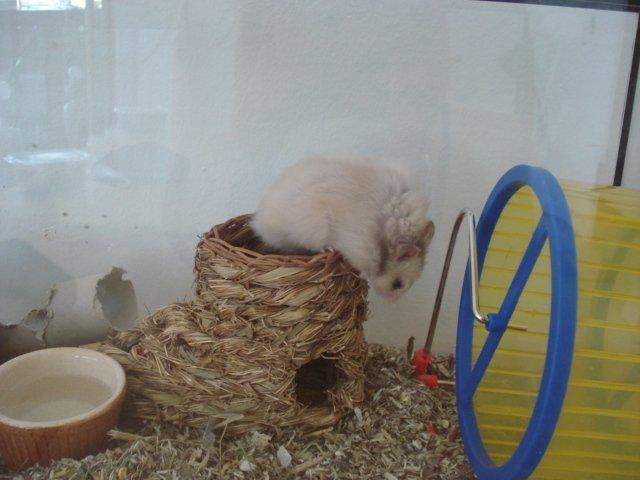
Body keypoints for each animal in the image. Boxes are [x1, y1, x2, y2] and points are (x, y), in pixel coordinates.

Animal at [252, 156, 435, 301]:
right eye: (397, 284)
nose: (392, 302)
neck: (382, 240)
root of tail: (259, 223)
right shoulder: (357, 246)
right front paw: (363, 275)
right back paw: (328, 248)